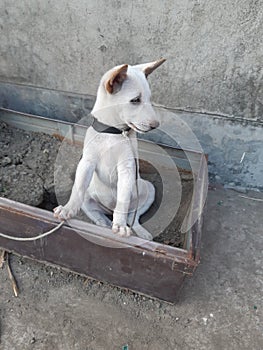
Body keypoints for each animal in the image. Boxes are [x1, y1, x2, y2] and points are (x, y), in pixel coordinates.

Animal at [54, 59, 166, 241]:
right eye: (135, 100)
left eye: (150, 99)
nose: (155, 125)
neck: (113, 133)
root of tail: (108, 210)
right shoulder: (87, 163)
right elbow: (78, 188)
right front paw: (67, 209)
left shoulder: (127, 168)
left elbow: (122, 199)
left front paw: (119, 225)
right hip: (88, 200)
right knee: (100, 217)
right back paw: (103, 225)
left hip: (148, 189)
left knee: (133, 217)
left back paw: (138, 231)